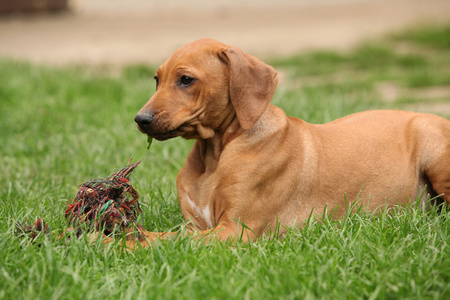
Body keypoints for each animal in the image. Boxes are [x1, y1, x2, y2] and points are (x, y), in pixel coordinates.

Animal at [132, 38, 448, 246]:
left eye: (186, 79)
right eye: (157, 79)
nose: (140, 119)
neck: (215, 154)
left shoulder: (236, 229)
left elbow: (168, 240)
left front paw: (124, 242)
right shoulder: (195, 224)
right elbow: (169, 235)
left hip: (434, 151)